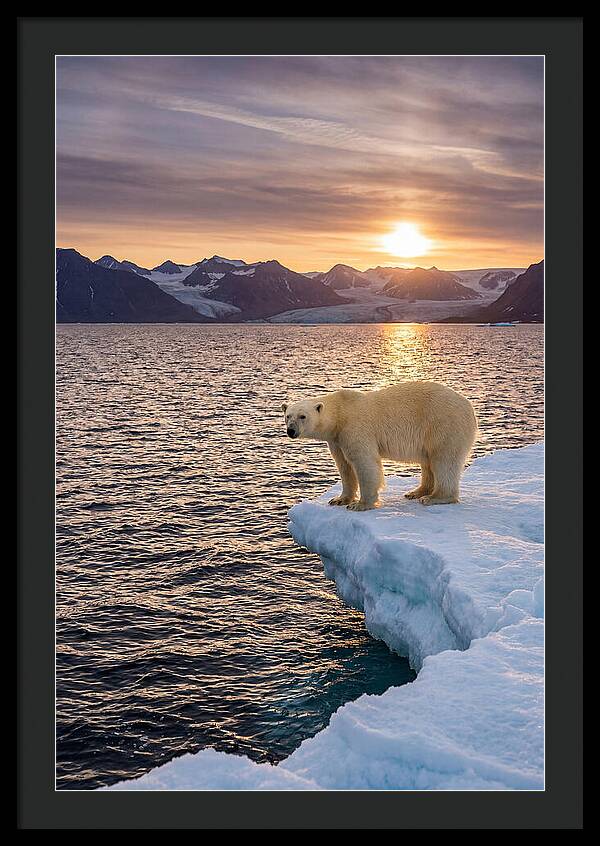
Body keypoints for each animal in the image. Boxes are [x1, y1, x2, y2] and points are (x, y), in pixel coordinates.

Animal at [282, 381, 477, 510]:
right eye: (288, 415)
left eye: (302, 416)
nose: (291, 431)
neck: (340, 413)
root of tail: (470, 407)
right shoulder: (336, 439)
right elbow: (344, 466)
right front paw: (339, 499)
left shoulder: (355, 428)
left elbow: (364, 463)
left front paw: (360, 504)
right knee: (428, 462)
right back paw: (416, 492)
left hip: (443, 424)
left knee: (444, 460)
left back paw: (434, 497)